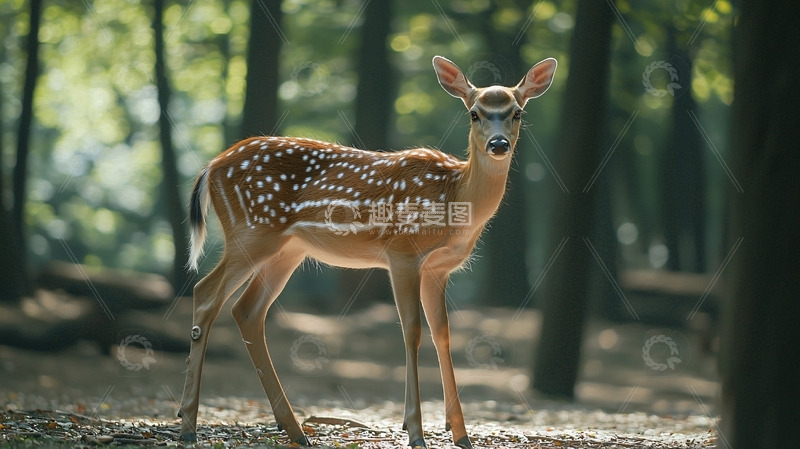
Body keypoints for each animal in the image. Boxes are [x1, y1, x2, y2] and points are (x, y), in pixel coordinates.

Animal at [178, 55, 557, 448]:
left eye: (517, 112)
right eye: (474, 113)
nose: (499, 144)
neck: (455, 196)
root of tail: (210, 167)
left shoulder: (439, 269)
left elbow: (443, 334)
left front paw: (461, 434)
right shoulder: (403, 251)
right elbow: (412, 331)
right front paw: (415, 432)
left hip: (287, 249)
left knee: (246, 310)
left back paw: (295, 429)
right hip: (251, 232)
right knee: (206, 293)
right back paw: (188, 425)